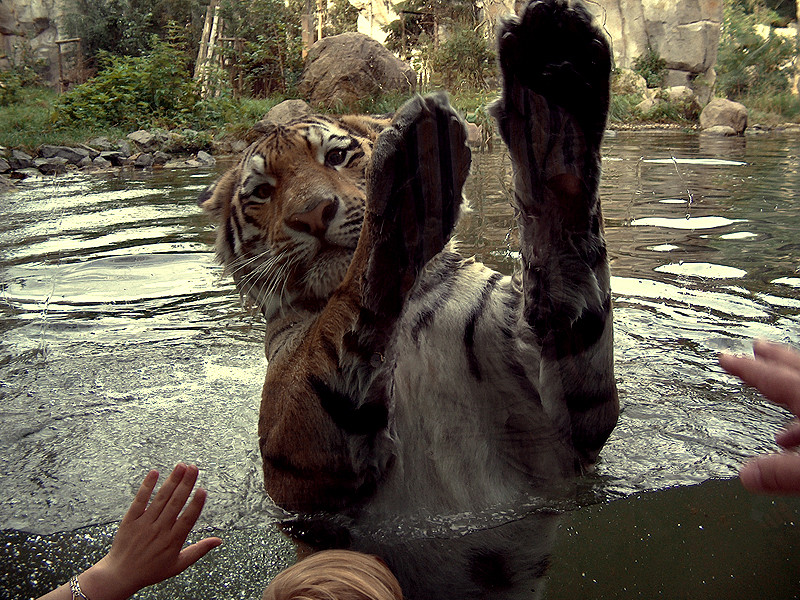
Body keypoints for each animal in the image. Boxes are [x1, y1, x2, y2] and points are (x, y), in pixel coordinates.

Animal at [202, 1, 620, 596]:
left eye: (336, 156)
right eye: (262, 192)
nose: (312, 214)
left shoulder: (566, 426)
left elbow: (568, 241)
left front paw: (554, 93)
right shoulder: (294, 466)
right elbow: (345, 310)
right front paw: (408, 182)